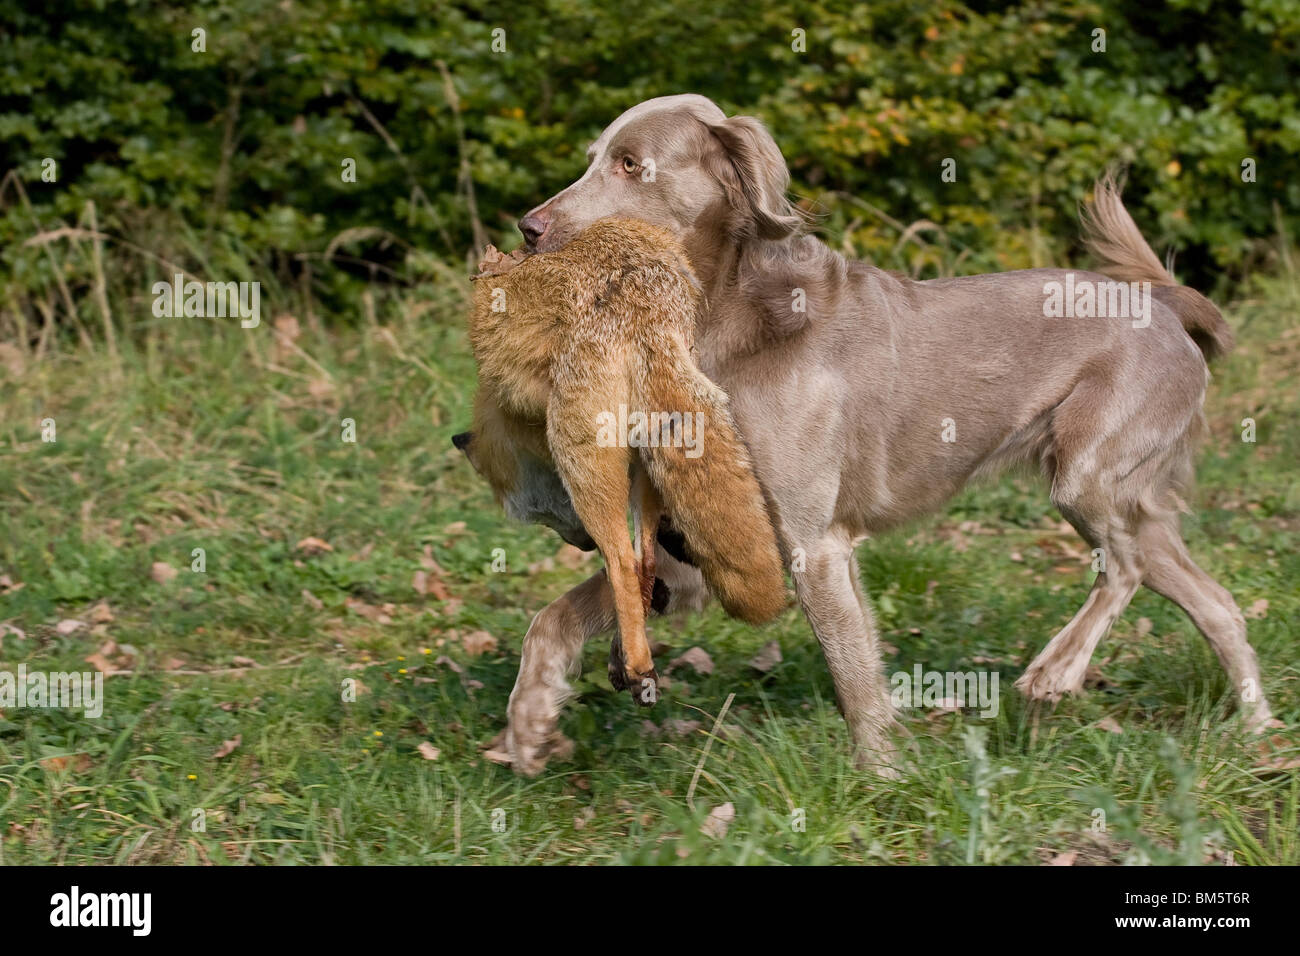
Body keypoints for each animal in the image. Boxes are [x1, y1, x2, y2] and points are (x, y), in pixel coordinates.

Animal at [452, 217, 785, 697]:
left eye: (539, 517)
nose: (580, 544)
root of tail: (644, 308)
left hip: (590, 470)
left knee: (623, 563)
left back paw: (639, 666)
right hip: (647, 464)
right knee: (645, 559)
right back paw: (631, 655)